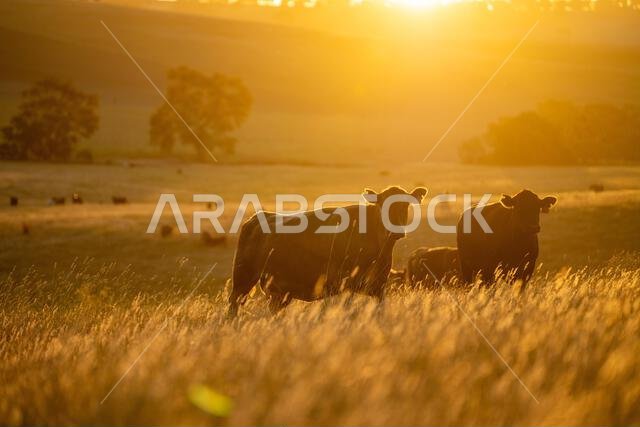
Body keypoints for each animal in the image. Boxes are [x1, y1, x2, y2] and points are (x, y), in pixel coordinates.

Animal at [228, 186, 427, 317]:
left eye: (406, 206)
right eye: (383, 205)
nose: (396, 231)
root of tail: (257, 218)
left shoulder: (378, 286)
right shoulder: (346, 285)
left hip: (278, 292)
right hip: (243, 279)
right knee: (233, 306)